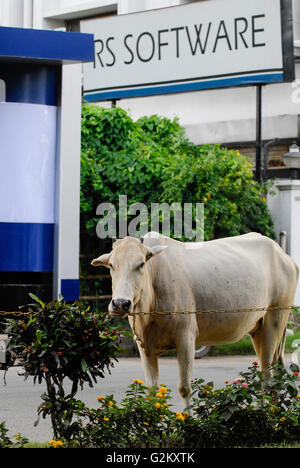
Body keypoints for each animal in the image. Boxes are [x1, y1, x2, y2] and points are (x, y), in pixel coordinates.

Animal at [91, 232, 298, 408]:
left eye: (141, 264)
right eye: (111, 265)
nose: (120, 304)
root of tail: (284, 255)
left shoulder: (186, 338)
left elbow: (184, 388)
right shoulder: (144, 346)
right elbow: (152, 391)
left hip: (275, 321)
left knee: (267, 378)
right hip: (258, 330)